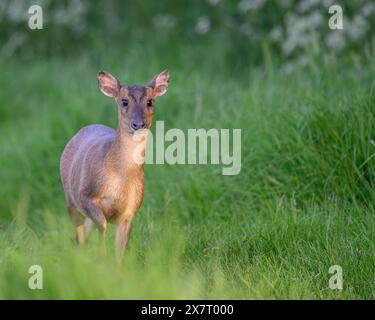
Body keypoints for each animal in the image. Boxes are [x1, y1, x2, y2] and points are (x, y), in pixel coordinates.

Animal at [59, 69, 170, 262]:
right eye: (124, 101)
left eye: (150, 102)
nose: (138, 124)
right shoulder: (86, 195)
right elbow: (102, 225)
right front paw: (101, 258)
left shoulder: (130, 210)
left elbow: (121, 250)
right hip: (71, 201)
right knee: (80, 234)